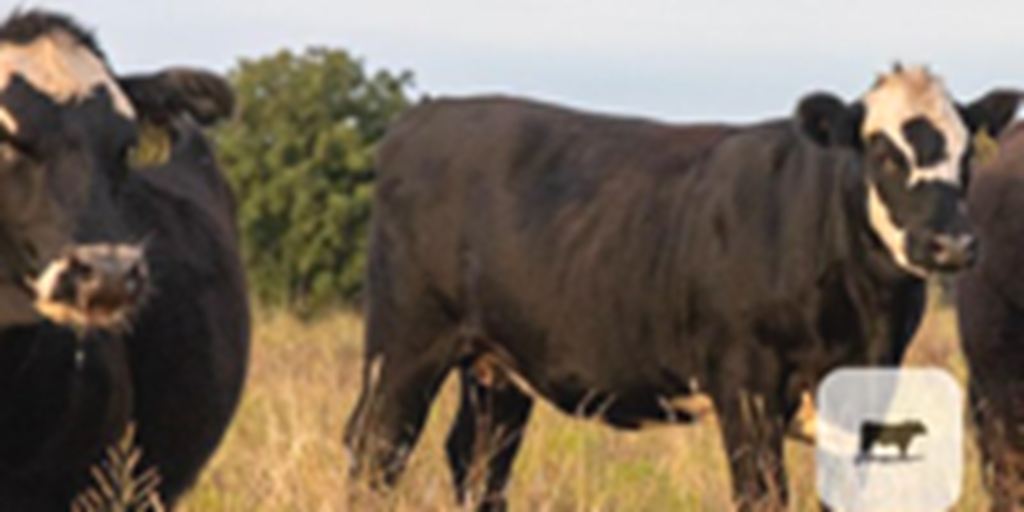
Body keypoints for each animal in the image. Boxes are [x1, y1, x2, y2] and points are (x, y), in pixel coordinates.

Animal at [348, 66, 1019, 509]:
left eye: (966, 157)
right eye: (883, 153)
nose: (953, 244)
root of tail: (430, 113)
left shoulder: (862, 394)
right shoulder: (745, 384)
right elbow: (762, 494)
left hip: (499, 368)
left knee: (478, 458)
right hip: (404, 344)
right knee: (377, 447)